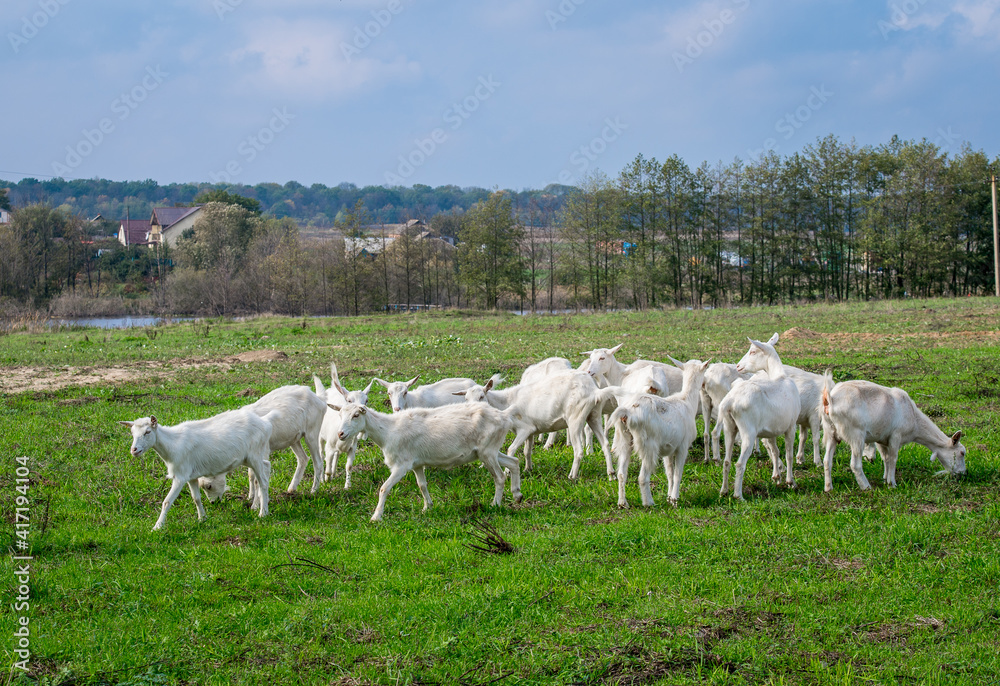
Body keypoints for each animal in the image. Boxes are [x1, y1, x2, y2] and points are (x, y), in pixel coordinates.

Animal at [120, 411, 272, 530]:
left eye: (147, 432)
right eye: (132, 433)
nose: (134, 450)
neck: (172, 444)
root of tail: (265, 423)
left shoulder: (180, 476)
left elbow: (167, 502)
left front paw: (157, 527)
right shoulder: (191, 475)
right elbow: (196, 498)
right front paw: (202, 519)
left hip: (254, 455)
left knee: (263, 482)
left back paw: (263, 513)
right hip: (251, 457)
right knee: (266, 466)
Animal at [329, 401, 523, 522]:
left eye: (356, 415)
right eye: (339, 414)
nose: (340, 434)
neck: (388, 431)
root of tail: (504, 415)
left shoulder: (402, 464)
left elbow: (384, 488)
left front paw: (376, 517)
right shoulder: (417, 464)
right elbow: (422, 485)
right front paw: (427, 507)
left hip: (487, 451)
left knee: (499, 477)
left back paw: (495, 504)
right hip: (489, 451)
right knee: (514, 461)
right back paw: (517, 495)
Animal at [608, 357, 710, 508]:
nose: (705, 382)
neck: (686, 401)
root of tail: (627, 412)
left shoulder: (669, 448)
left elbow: (669, 473)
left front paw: (669, 497)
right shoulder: (683, 446)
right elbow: (677, 474)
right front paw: (675, 500)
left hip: (625, 439)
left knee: (622, 473)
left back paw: (622, 503)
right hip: (648, 444)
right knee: (642, 476)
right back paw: (648, 503)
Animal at [719, 337, 801, 500]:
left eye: (753, 351)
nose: (738, 366)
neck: (779, 377)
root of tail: (729, 402)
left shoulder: (771, 431)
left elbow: (775, 451)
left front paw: (776, 478)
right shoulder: (791, 426)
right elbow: (788, 454)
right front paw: (790, 482)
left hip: (729, 427)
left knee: (727, 461)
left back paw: (724, 491)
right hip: (748, 431)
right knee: (740, 463)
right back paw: (738, 496)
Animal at [820, 373, 967, 491]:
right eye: (962, 453)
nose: (963, 474)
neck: (915, 422)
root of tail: (830, 399)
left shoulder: (881, 438)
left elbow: (886, 458)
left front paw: (885, 479)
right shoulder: (896, 436)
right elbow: (893, 458)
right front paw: (892, 483)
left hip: (831, 432)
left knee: (827, 460)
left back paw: (828, 488)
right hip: (856, 434)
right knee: (855, 464)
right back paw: (866, 487)